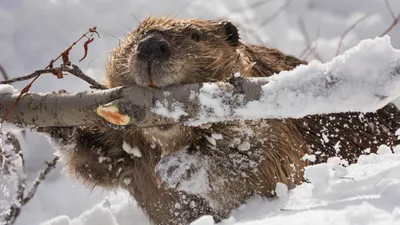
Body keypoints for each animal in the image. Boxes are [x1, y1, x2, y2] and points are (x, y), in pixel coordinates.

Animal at [45, 16, 400, 224]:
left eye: (195, 35)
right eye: (134, 36)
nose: (151, 46)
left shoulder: (276, 124)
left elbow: (263, 159)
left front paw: (179, 167)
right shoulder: (130, 149)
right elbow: (98, 162)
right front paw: (59, 119)